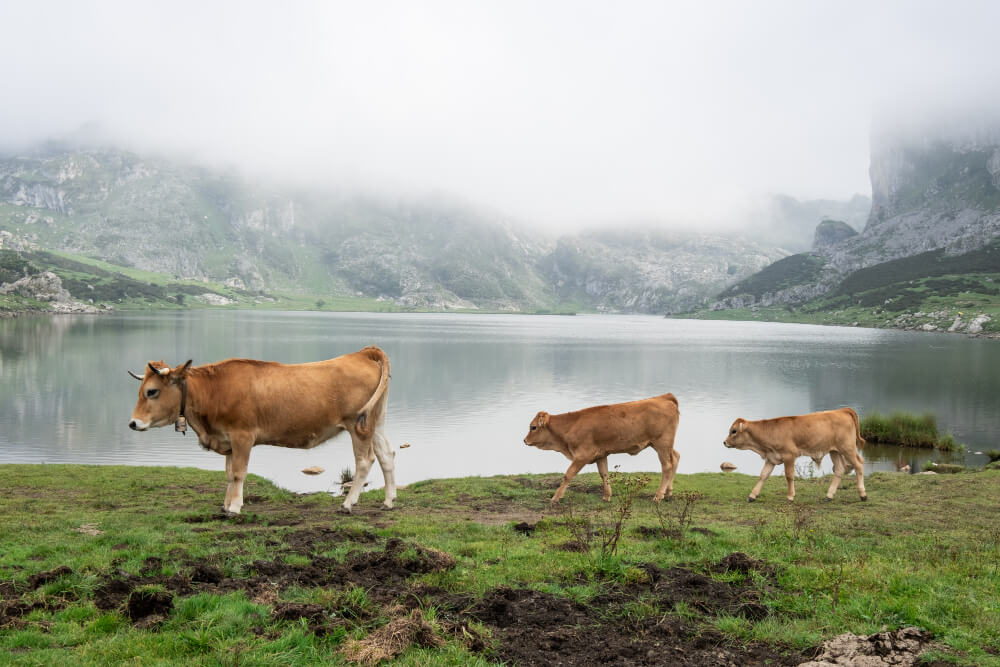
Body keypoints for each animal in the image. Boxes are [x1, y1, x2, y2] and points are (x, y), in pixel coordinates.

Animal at [125, 348, 390, 516]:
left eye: (151, 391)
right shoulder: (228, 440)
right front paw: (225, 505)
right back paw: (388, 502)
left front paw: (235, 508)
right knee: (387, 456)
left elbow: (239, 473)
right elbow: (228, 474)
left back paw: (348, 504)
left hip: (358, 426)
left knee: (365, 461)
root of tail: (363, 352)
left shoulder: (243, 436)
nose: (133, 423)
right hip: (376, 422)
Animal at [524, 396, 680, 500]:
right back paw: (668, 492)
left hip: (662, 443)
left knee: (667, 466)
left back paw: (658, 496)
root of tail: (664, 397)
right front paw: (606, 496)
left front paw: (556, 497)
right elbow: (604, 474)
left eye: (533, 427)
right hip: (663, 445)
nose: (525, 440)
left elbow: (568, 474)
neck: (572, 425)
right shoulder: (601, 454)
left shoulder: (582, 455)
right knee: (676, 457)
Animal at [724, 410, 864, 504]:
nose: (724, 442)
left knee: (858, 465)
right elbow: (763, 475)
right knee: (839, 470)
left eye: (734, 431)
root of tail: (842, 410)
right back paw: (829, 496)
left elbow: (789, 476)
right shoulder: (771, 458)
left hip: (848, 448)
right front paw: (752, 496)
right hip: (834, 451)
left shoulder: (789, 456)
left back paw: (863, 494)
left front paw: (790, 497)